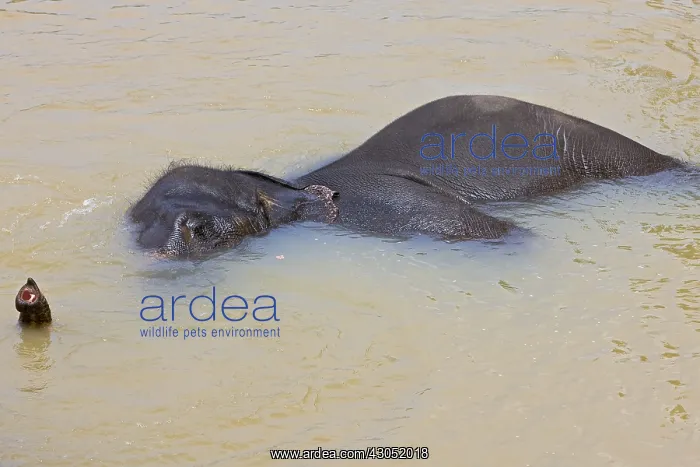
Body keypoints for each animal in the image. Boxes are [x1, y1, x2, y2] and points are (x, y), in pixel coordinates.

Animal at [127, 94, 694, 258]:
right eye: (134, 219)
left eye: (201, 231)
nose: (160, 250)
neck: (287, 190)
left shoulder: (383, 207)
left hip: (602, 153)